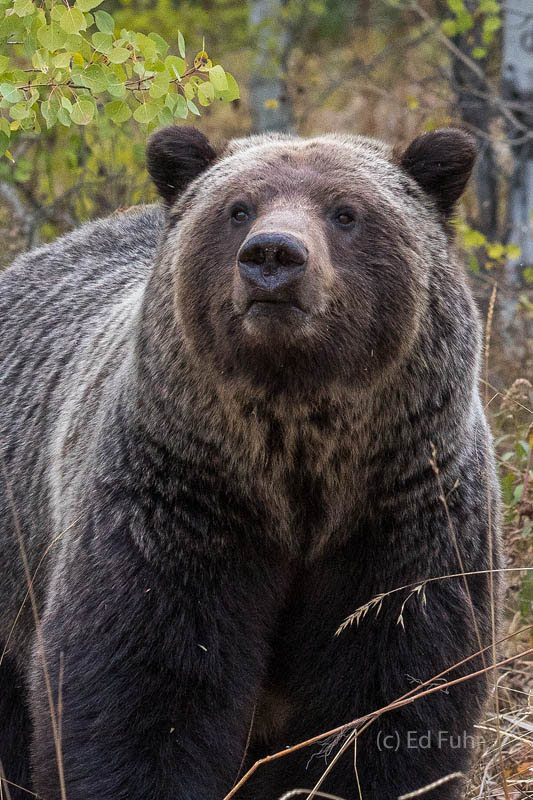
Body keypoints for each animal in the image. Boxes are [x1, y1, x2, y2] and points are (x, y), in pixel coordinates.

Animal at [0, 126, 498, 800]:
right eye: (238, 209)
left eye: (346, 212)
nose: (273, 255)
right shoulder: (179, 502)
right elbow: (138, 688)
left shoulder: (406, 514)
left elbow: (391, 696)